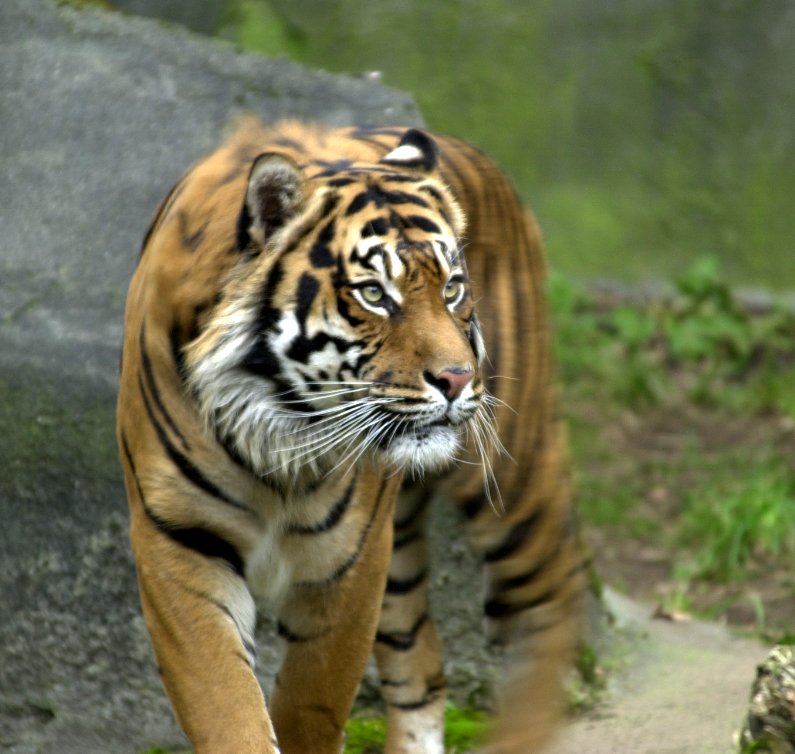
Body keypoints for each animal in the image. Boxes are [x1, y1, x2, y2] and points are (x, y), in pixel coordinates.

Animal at [116, 118, 585, 754]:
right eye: (373, 294)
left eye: (452, 288)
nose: (457, 379)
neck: (275, 427)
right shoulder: (179, 539)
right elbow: (225, 704)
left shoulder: (349, 559)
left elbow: (311, 703)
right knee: (423, 664)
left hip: (510, 472)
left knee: (548, 597)